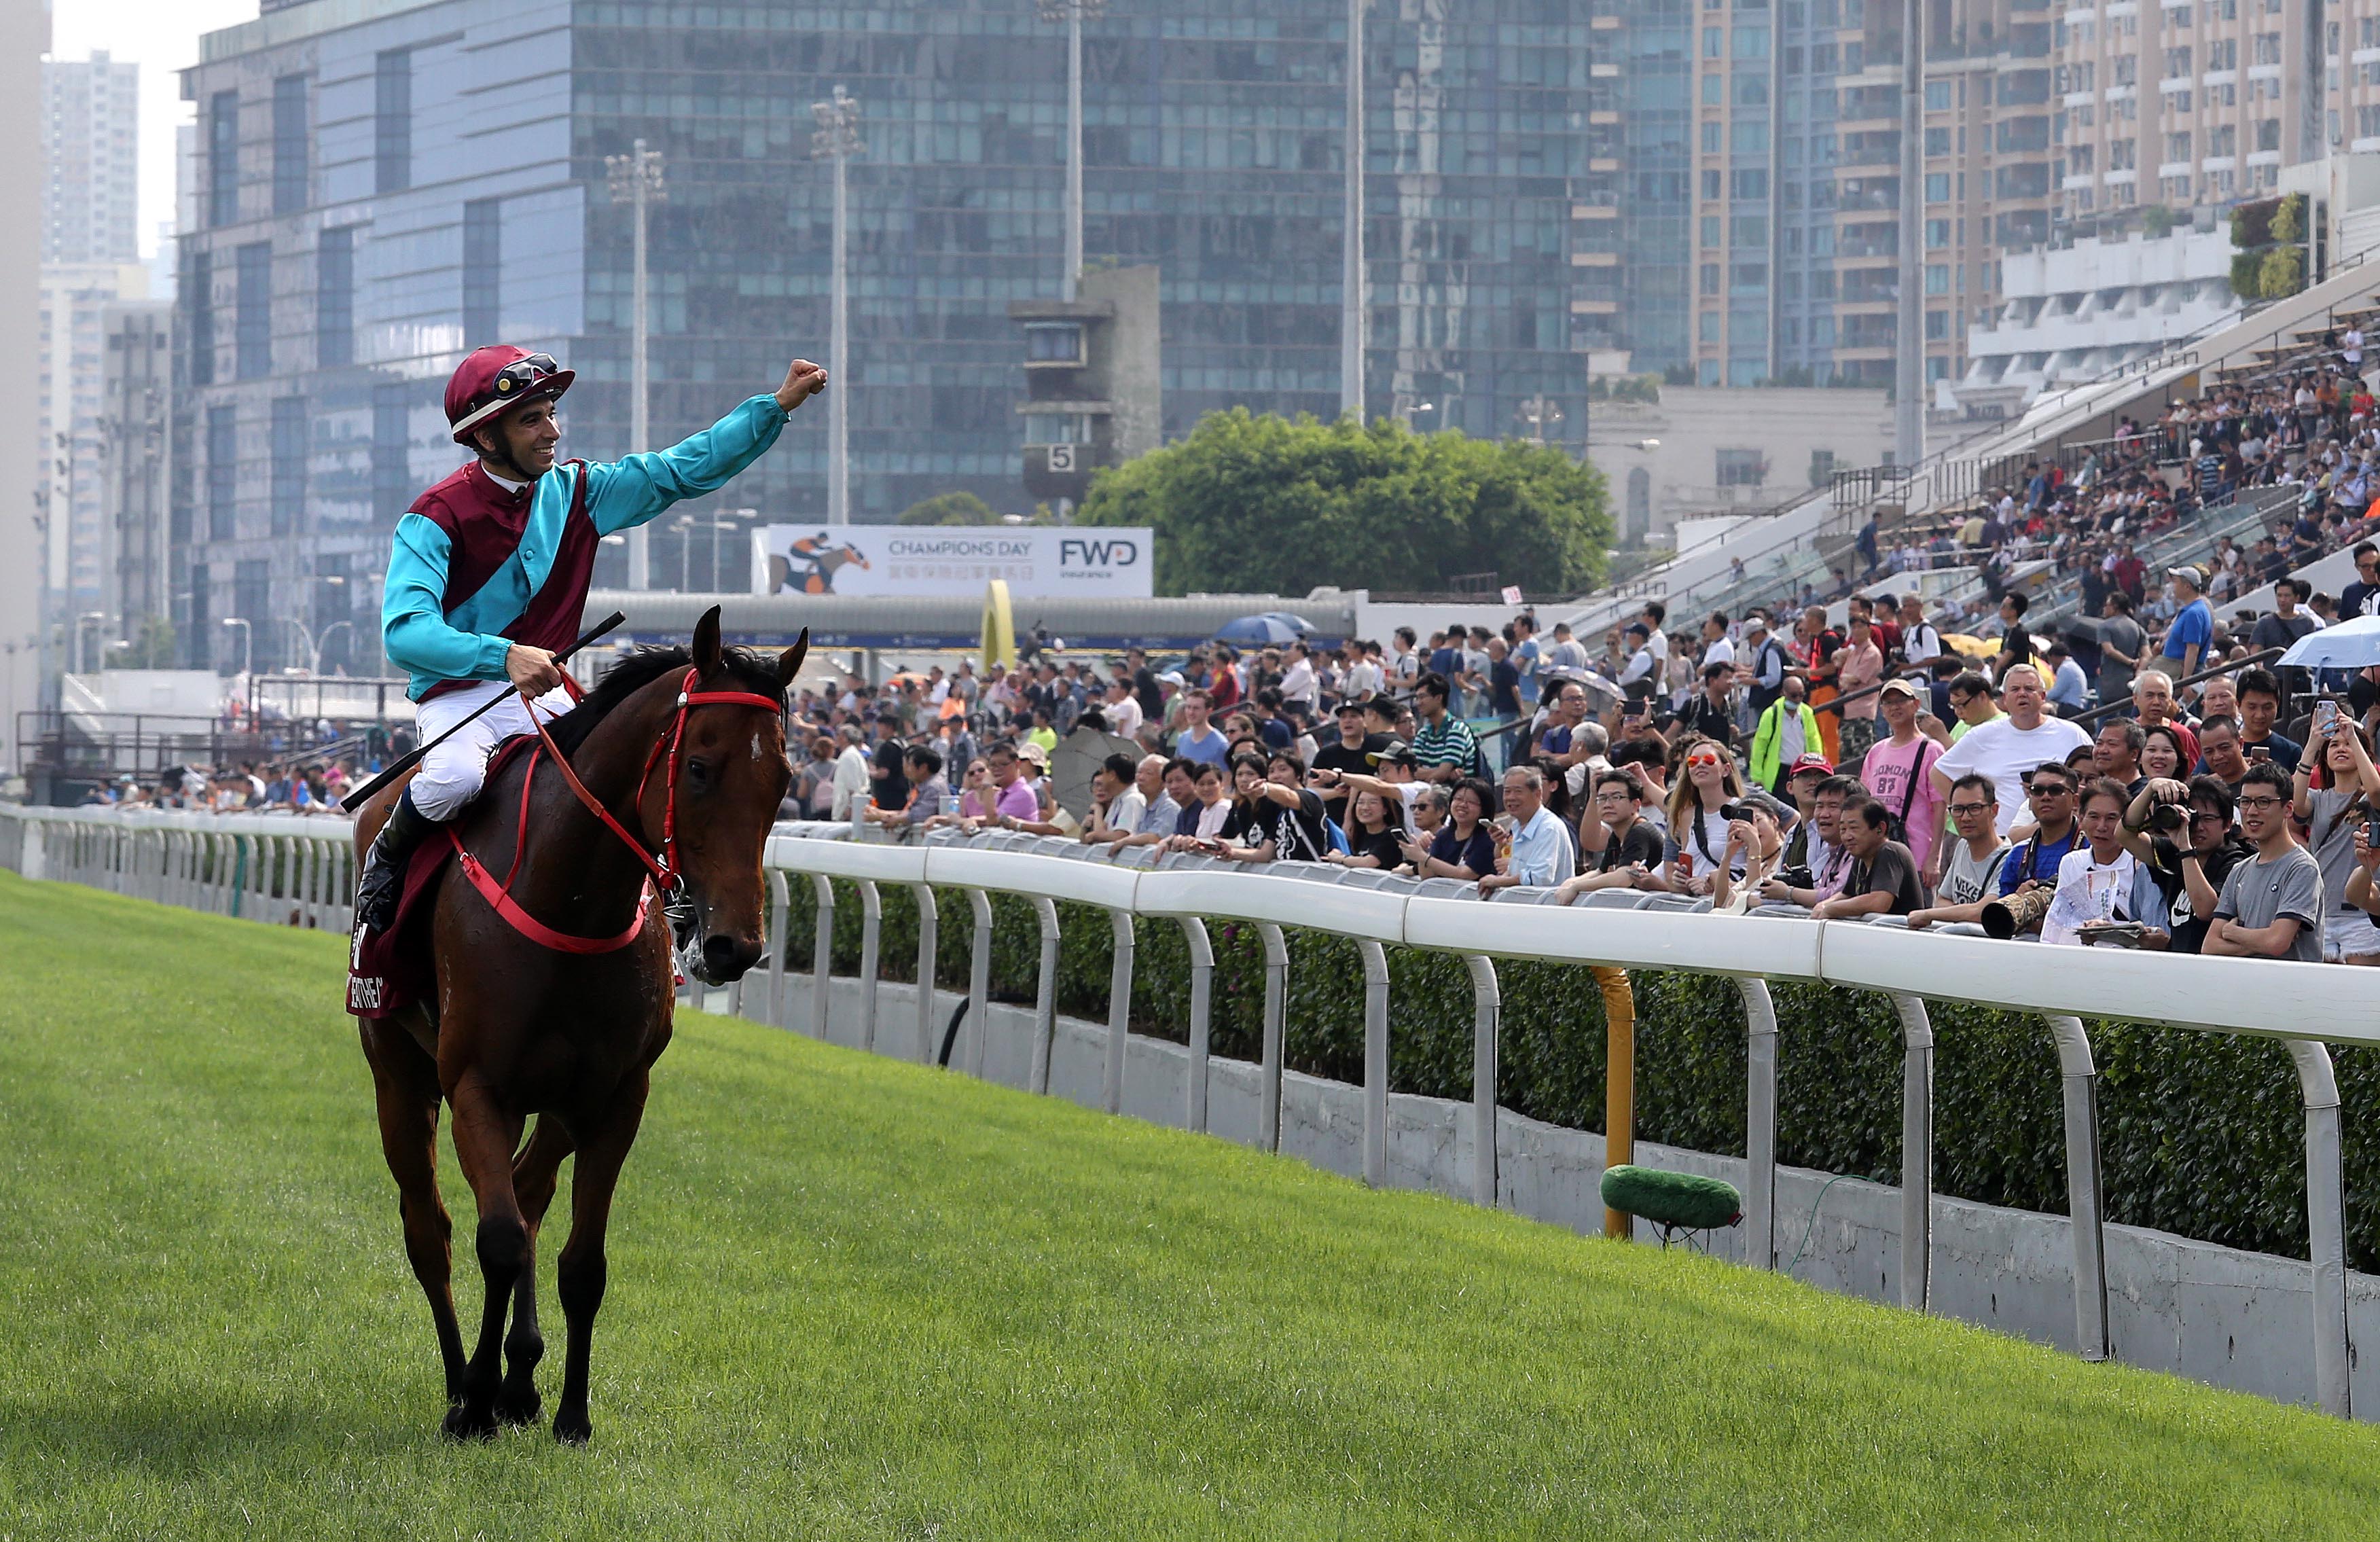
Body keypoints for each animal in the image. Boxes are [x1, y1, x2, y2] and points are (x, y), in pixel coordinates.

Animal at [352, 604, 799, 1446]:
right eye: (699, 766)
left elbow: (581, 1261)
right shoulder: (476, 1086)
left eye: (784, 778)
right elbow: (494, 1238)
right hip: (398, 1075)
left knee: (528, 1193)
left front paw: (567, 1410)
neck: (571, 897)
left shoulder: (617, 1095)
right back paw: (462, 1384)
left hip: (559, 1099)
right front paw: (477, 1402)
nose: (735, 945)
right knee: (432, 1229)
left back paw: (521, 1378)